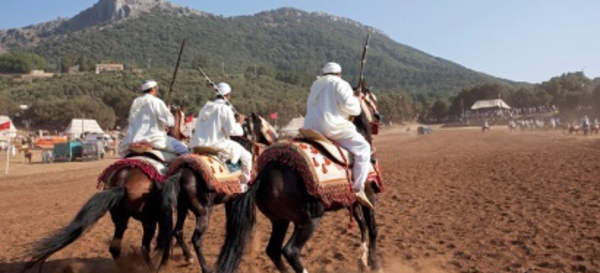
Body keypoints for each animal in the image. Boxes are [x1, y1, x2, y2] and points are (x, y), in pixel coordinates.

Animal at [164, 111, 276, 270]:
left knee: (178, 231)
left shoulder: (229, 200)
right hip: (203, 212)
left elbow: (229, 224)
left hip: (182, 208)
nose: (275, 137)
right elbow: (248, 223)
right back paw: (206, 268)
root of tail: (181, 173)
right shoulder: (239, 198)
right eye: (261, 122)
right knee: (196, 239)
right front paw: (250, 247)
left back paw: (188, 256)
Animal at [216, 88, 384, 272]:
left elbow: (362, 225)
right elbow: (372, 228)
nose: (378, 116)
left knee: (273, 250)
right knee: (290, 251)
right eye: (371, 100)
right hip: (309, 220)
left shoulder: (351, 201)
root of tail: (262, 177)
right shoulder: (368, 195)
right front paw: (375, 263)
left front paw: (363, 261)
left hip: (280, 221)